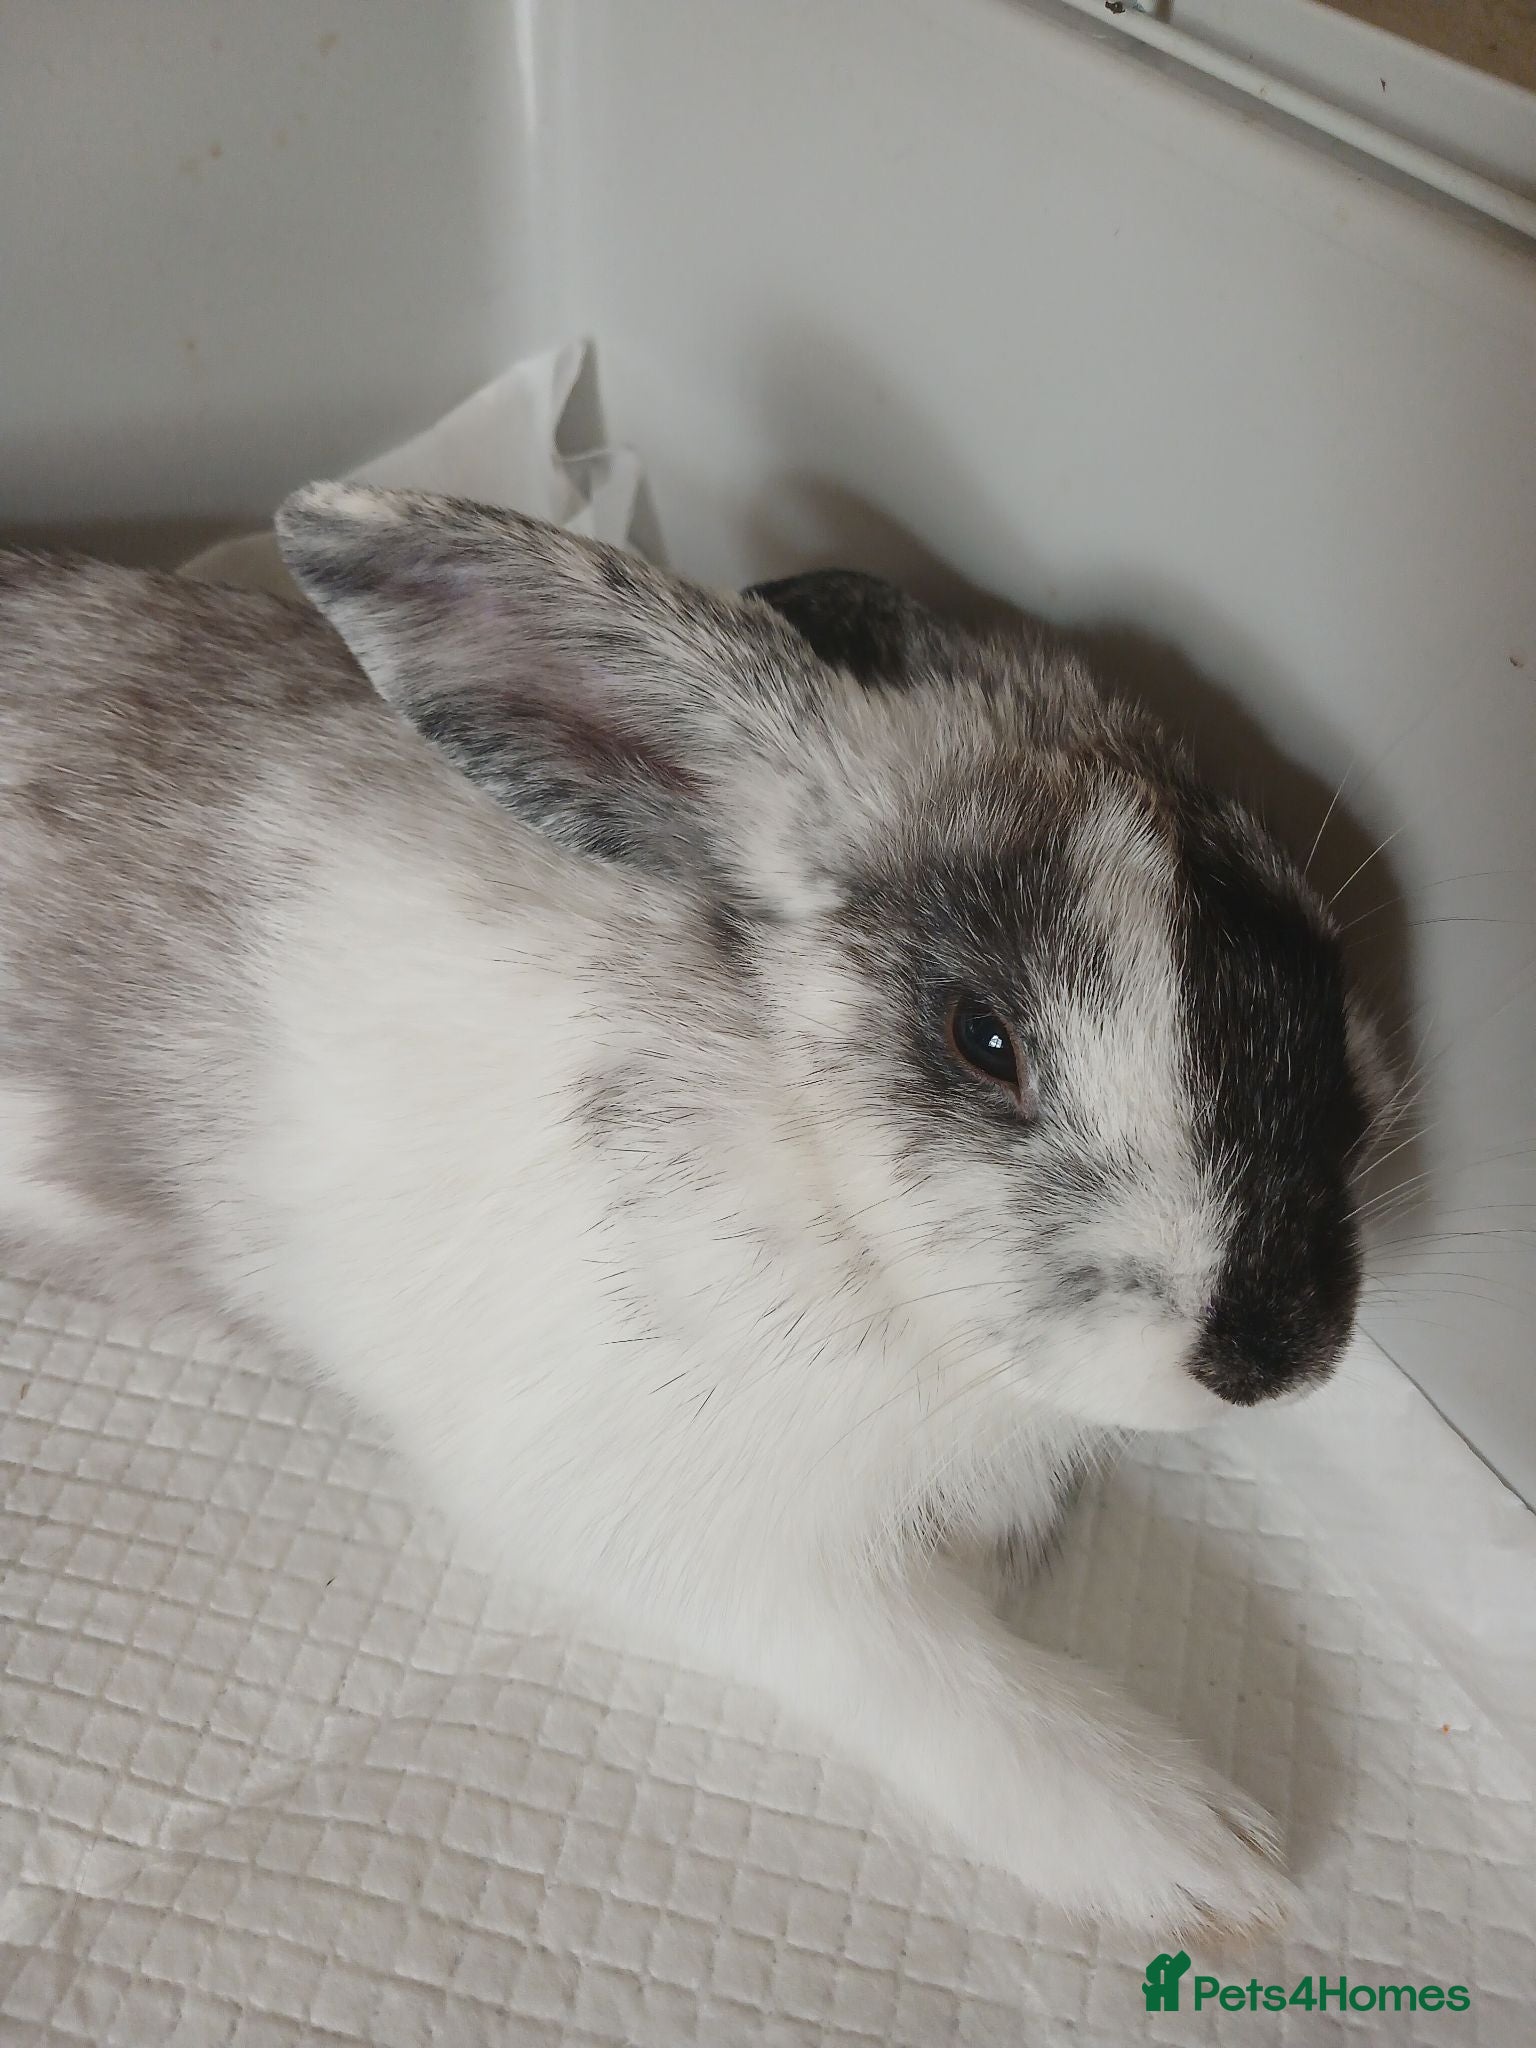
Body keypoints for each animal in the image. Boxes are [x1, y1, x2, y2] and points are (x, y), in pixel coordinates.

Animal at [0, 485, 1385, 1940]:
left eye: (1317, 962)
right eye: (982, 1037)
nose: (1276, 1350)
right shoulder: (698, 1543)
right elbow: (929, 1668)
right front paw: (1201, 1851)